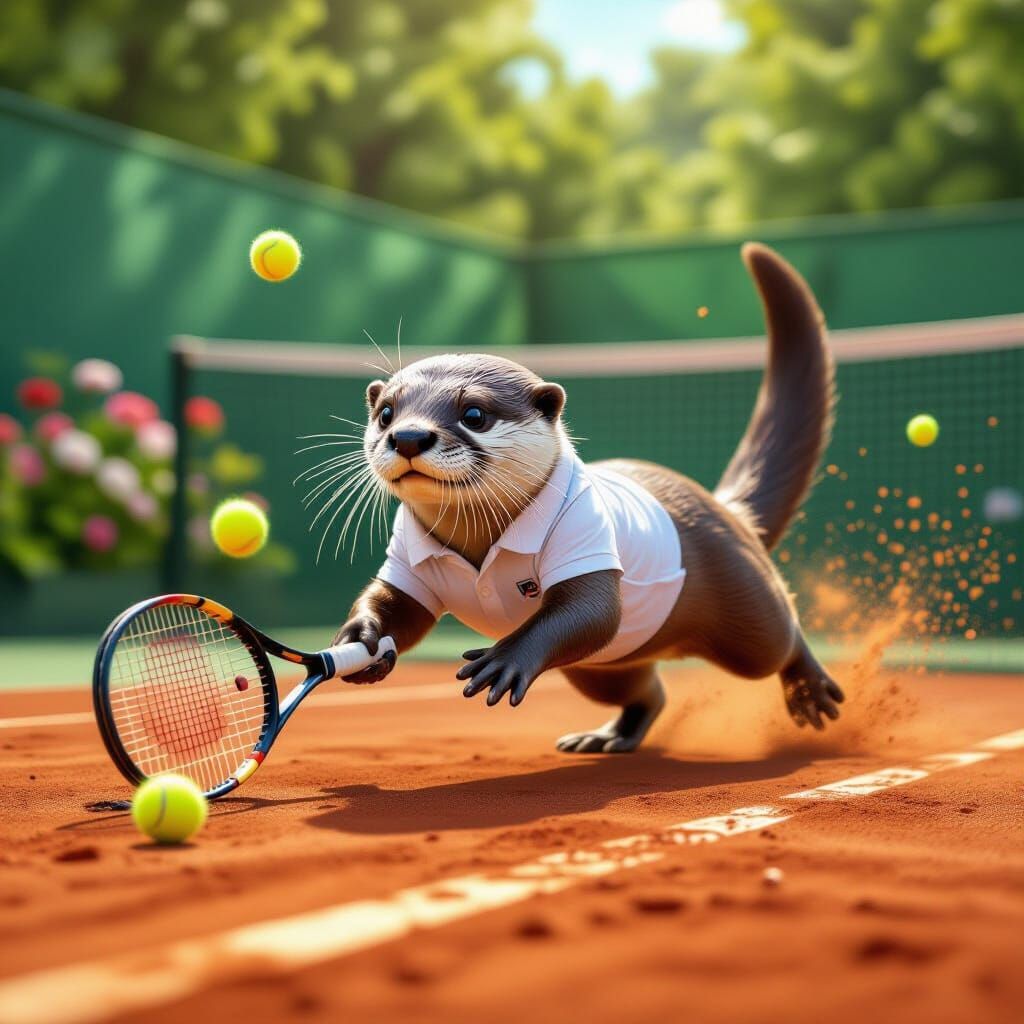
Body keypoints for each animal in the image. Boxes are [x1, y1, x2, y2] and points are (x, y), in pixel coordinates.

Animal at [332, 243, 843, 752]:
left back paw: (810, 689)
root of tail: (724, 509)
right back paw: (608, 737)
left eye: (474, 414)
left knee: (780, 635)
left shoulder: (584, 530)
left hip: (742, 604)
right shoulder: (405, 552)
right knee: (646, 690)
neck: (480, 547)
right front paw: (359, 636)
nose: (408, 436)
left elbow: (591, 610)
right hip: (602, 668)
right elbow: (398, 605)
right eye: (386, 413)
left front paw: (506, 657)